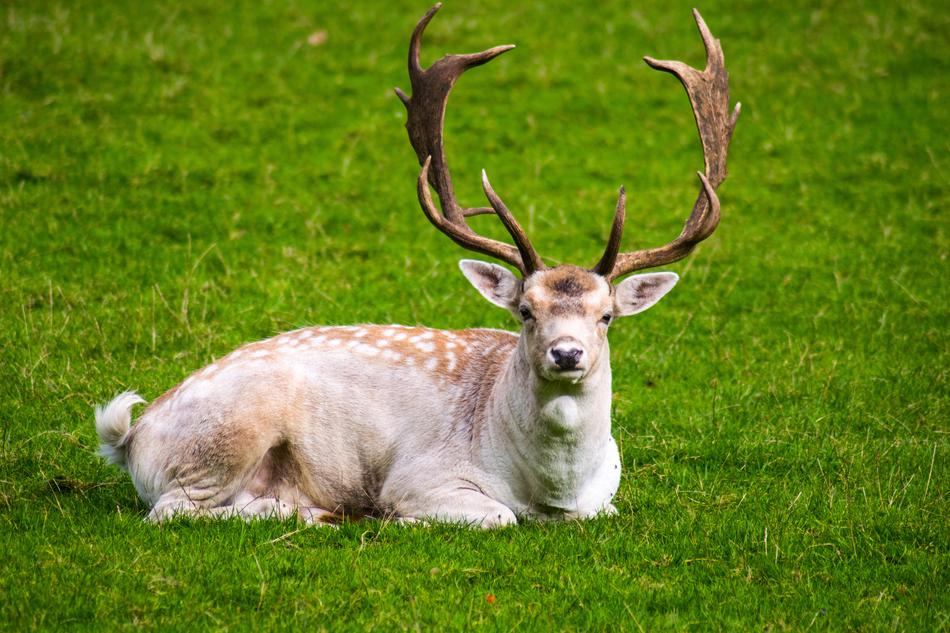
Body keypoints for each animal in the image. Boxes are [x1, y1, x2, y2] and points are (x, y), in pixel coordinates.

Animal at [94, 5, 739, 528]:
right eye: (525, 311)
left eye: (607, 316)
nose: (566, 353)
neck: (554, 493)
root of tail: (130, 436)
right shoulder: (421, 477)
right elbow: (498, 516)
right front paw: (394, 517)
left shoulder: (607, 496)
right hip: (227, 436)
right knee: (173, 510)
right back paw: (315, 513)